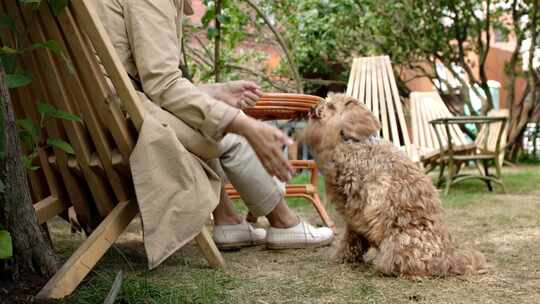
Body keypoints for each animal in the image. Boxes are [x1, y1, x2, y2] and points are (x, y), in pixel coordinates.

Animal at [304, 94, 486, 278]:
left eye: (331, 106)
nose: (312, 108)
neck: (354, 142)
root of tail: (447, 260)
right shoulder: (355, 217)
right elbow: (352, 239)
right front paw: (344, 257)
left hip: (399, 241)